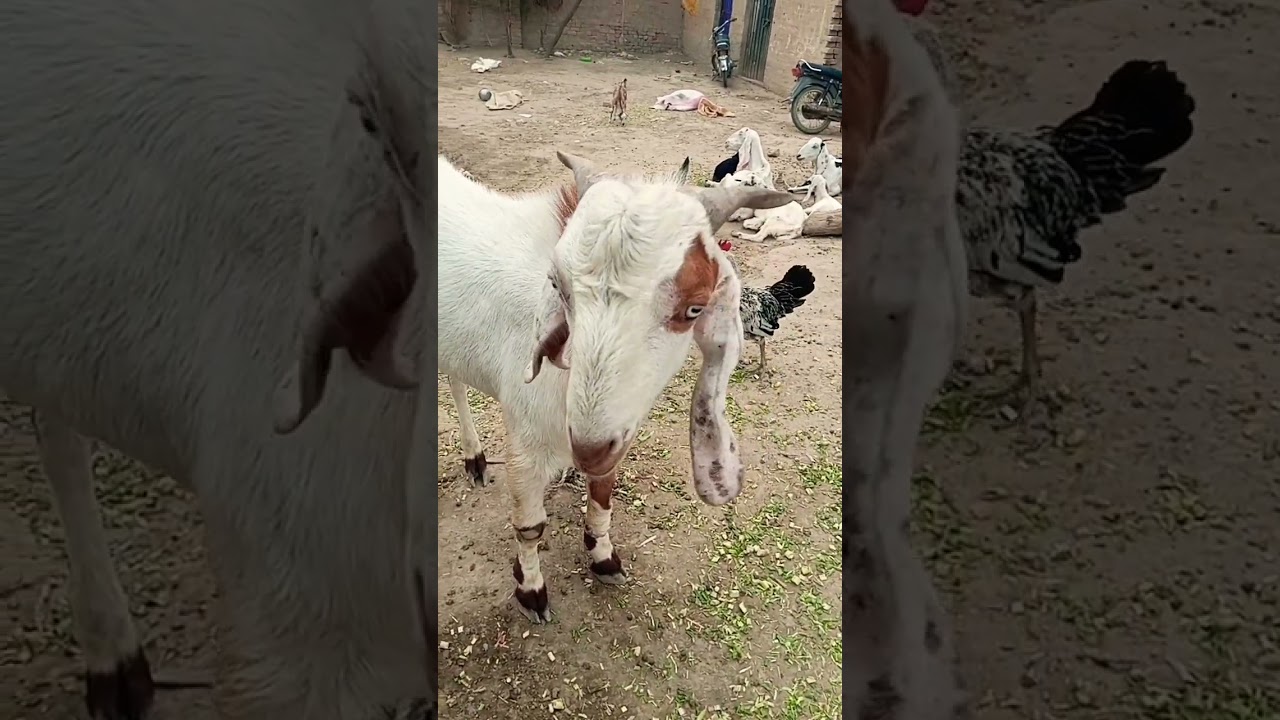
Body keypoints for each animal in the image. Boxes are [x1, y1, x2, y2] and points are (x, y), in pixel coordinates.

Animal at [436, 153, 792, 623]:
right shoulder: (526, 445)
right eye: (559, 287)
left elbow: (604, 495)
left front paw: (603, 556)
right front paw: (531, 591)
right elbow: (530, 527)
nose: (585, 450)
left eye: (694, 308)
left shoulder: (617, 434)